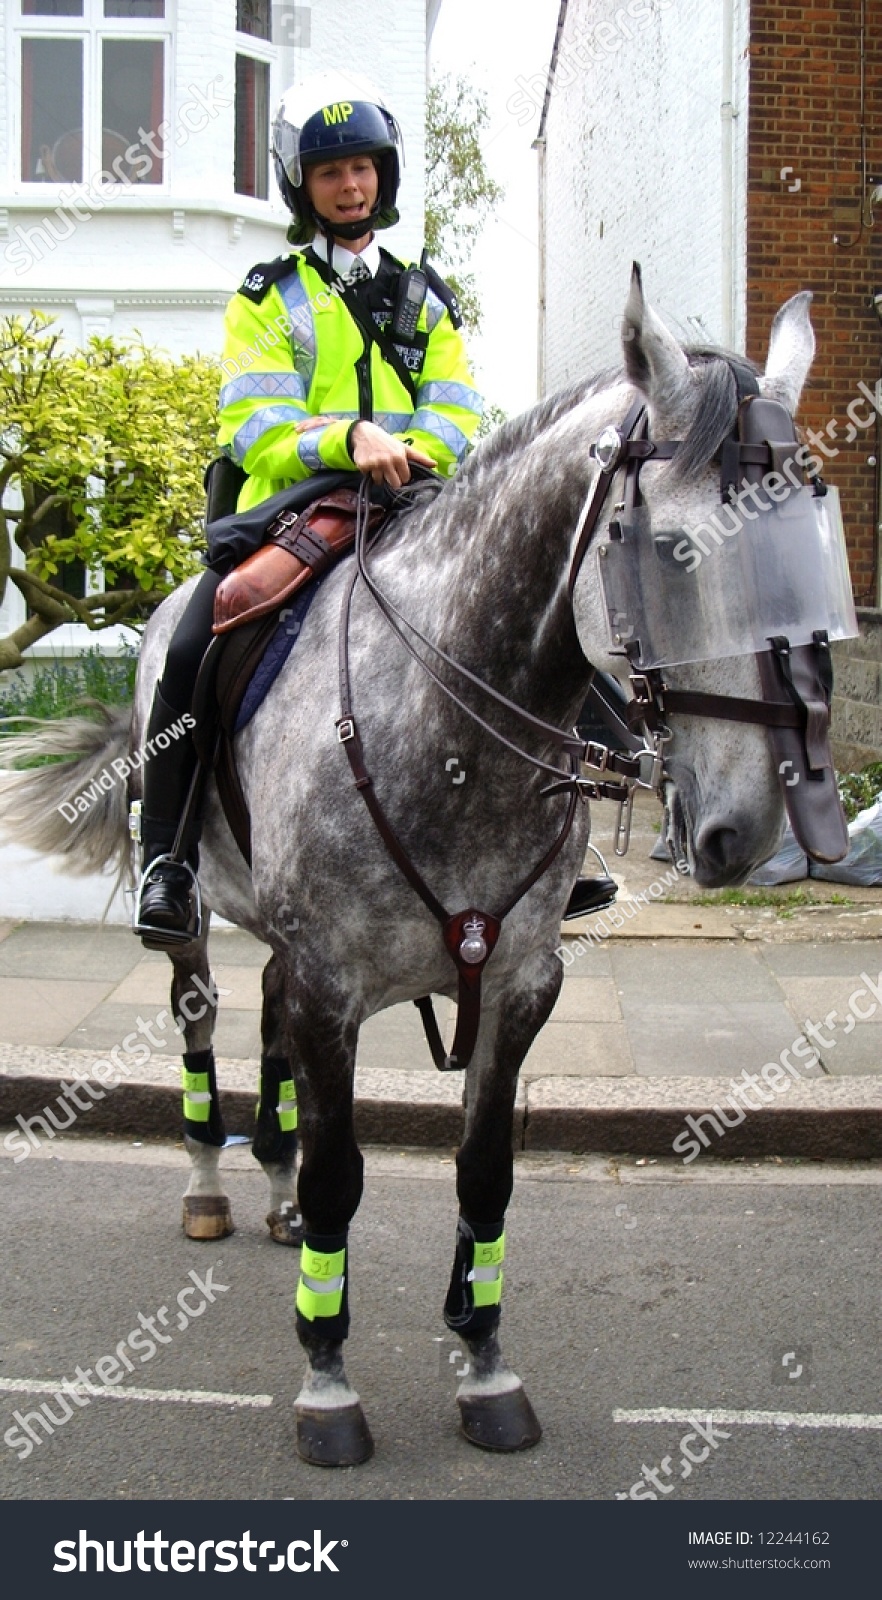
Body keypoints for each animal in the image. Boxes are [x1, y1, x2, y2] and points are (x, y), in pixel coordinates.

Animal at [0, 272, 857, 1465]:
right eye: (680, 557)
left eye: (813, 550)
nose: (760, 829)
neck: (447, 730)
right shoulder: (334, 986)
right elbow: (342, 1177)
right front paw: (327, 1380)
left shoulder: (517, 984)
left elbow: (484, 1174)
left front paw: (487, 1365)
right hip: (200, 924)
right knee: (203, 1023)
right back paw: (213, 1183)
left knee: (266, 1032)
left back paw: (270, 1190)